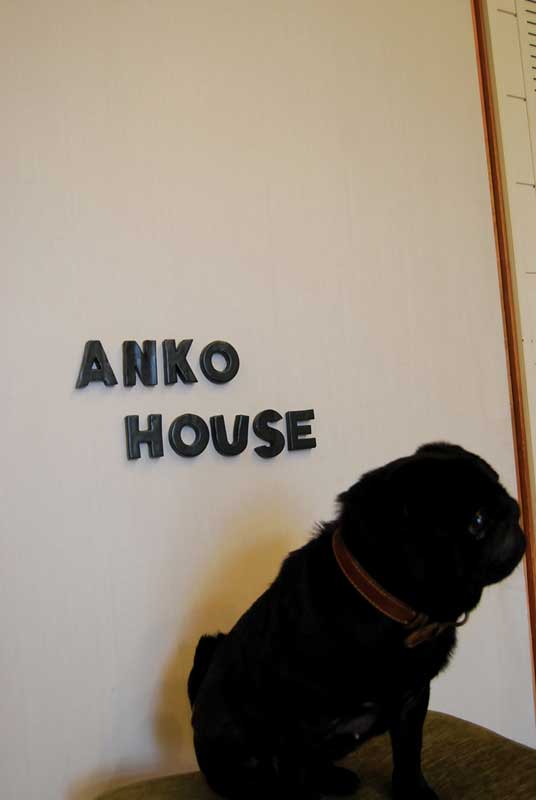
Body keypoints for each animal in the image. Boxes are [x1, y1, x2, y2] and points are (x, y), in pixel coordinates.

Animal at [188, 443, 526, 799]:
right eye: (478, 521)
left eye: (502, 488)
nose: (515, 509)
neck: (390, 607)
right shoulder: (295, 732)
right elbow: (298, 782)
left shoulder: (413, 700)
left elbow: (409, 753)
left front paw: (413, 792)